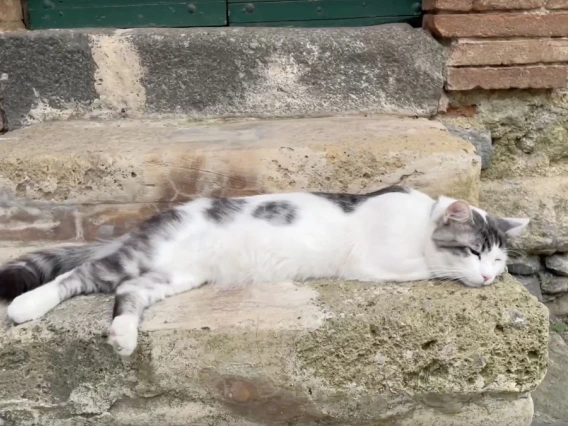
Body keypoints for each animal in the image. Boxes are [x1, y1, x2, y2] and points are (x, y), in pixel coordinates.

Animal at [2, 186, 532, 356]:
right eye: (473, 252)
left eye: (499, 259)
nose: (489, 277)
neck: (419, 221)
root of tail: (150, 220)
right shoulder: (381, 262)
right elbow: (427, 269)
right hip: (137, 258)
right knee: (79, 275)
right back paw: (26, 307)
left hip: (173, 277)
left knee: (128, 291)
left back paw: (123, 336)